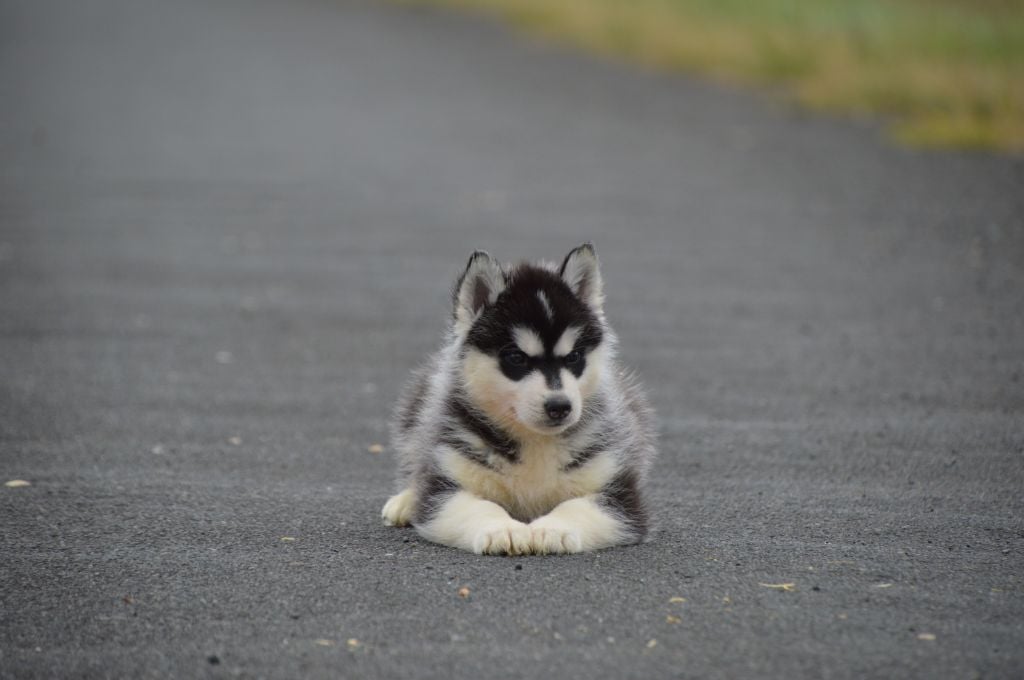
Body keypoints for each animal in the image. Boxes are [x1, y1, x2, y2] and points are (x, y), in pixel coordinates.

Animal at [382, 246, 655, 557]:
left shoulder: (620, 495)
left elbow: (577, 507)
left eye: (574, 357)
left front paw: (552, 529)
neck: (535, 442)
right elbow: (478, 506)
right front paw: (502, 529)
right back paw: (405, 501)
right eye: (516, 358)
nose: (559, 406)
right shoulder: (444, 488)